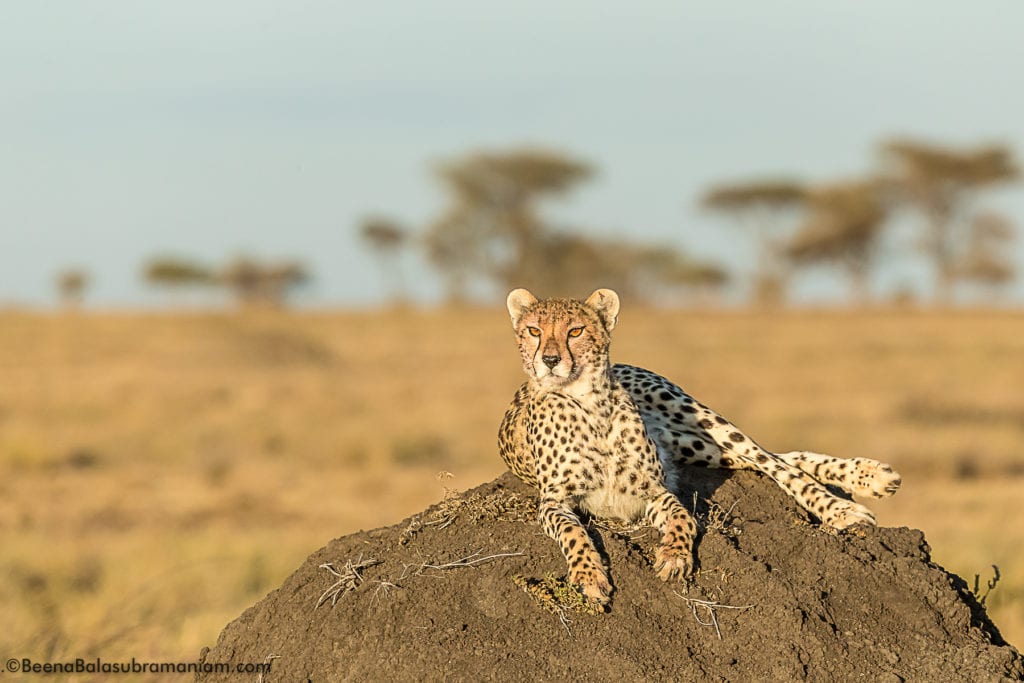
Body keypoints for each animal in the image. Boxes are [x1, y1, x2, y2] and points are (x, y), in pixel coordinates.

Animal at [499, 288, 901, 602]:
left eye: (576, 331)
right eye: (534, 331)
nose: (550, 360)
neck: (589, 403)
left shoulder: (653, 490)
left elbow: (682, 518)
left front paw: (674, 556)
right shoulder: (554, 501)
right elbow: (573, 533)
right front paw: (588, 576)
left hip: (697, 418)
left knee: (773, 461)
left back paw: (848, 500)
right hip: (691, 445)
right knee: (775, 458)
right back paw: (867, 478)